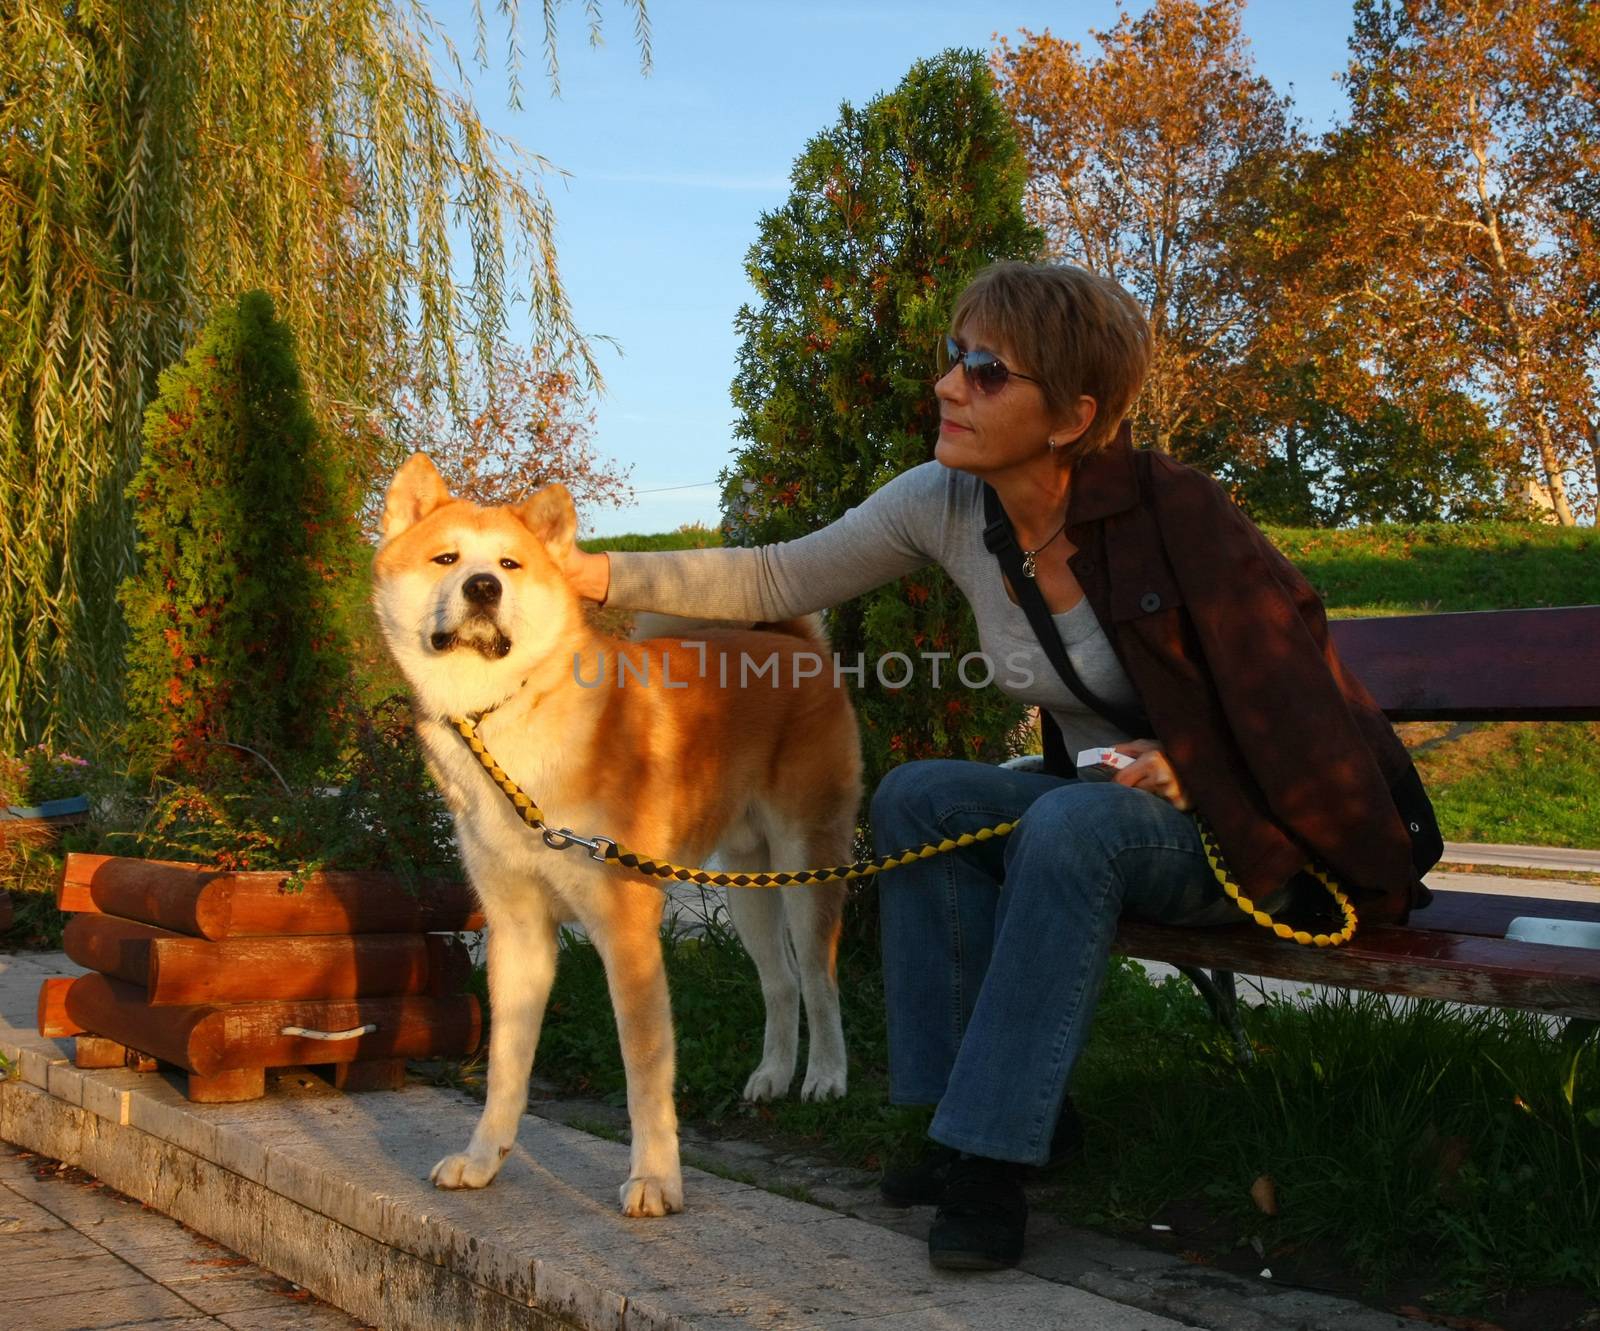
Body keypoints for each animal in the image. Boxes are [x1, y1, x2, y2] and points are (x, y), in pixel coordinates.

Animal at [372, 457, 864, 1215]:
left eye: (509, 563)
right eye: (447, 559)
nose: (483, 587)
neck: (507, 722)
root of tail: (789, 643)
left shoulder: (626, 928)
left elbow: (644, 1069)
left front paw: (656, 1178)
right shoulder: (518, 930)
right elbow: (505, 1067)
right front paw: (484, 1160)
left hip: (808, 863)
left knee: (817, 975)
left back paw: (826, 1078)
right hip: (748, 883)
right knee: (779, 982)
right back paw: (772, 1076)